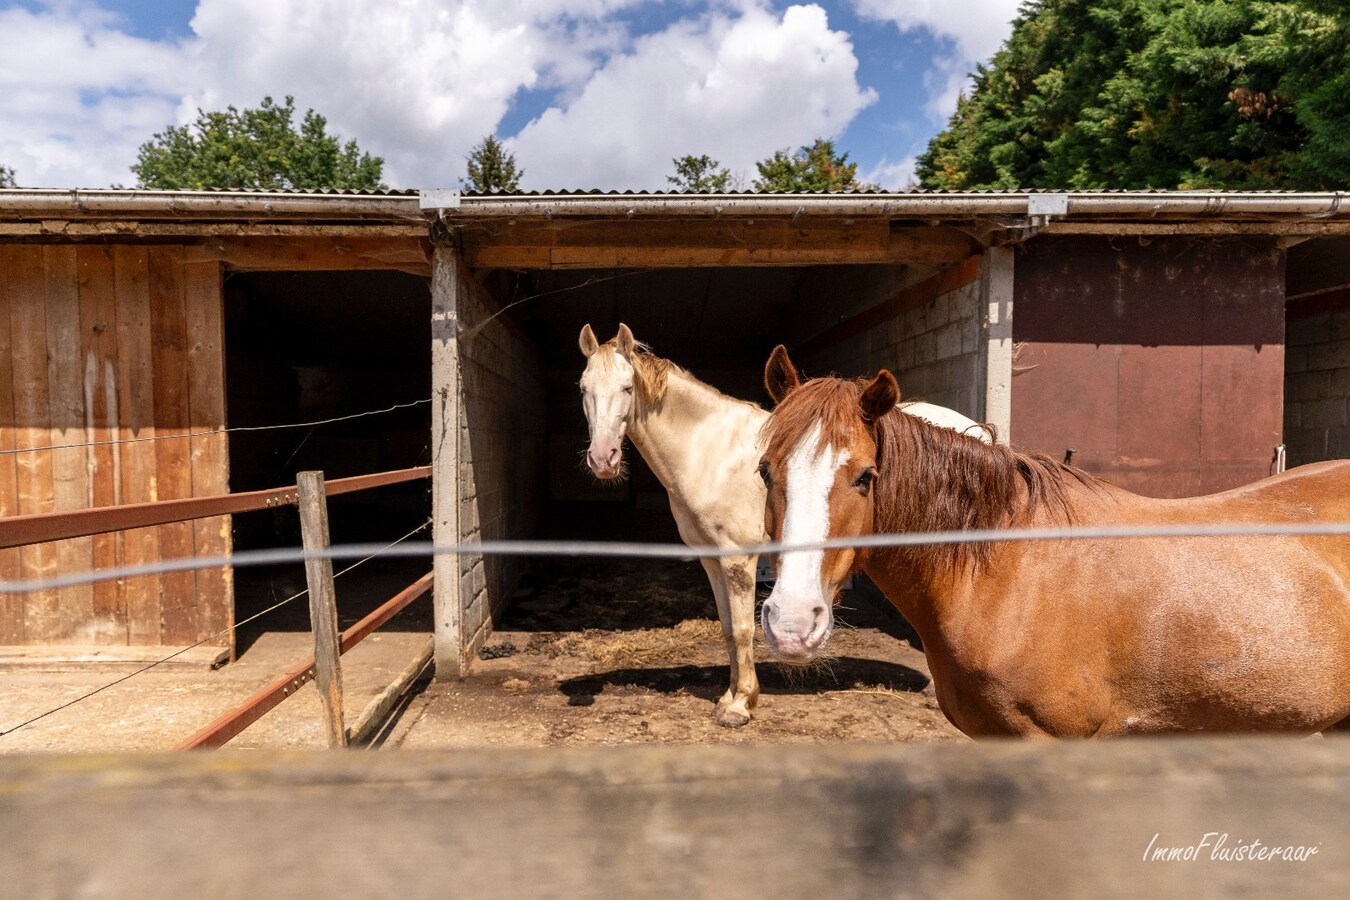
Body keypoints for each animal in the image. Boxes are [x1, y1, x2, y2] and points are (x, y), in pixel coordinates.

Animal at [575, 327, 988, 728]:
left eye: (627, 388)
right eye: (583, 388)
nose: (603, 459)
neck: (708, 452)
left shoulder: (738, 559)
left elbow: (744, 629)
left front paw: (740, 705)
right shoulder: (711, 559)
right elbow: (728, 628)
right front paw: (729, 696)